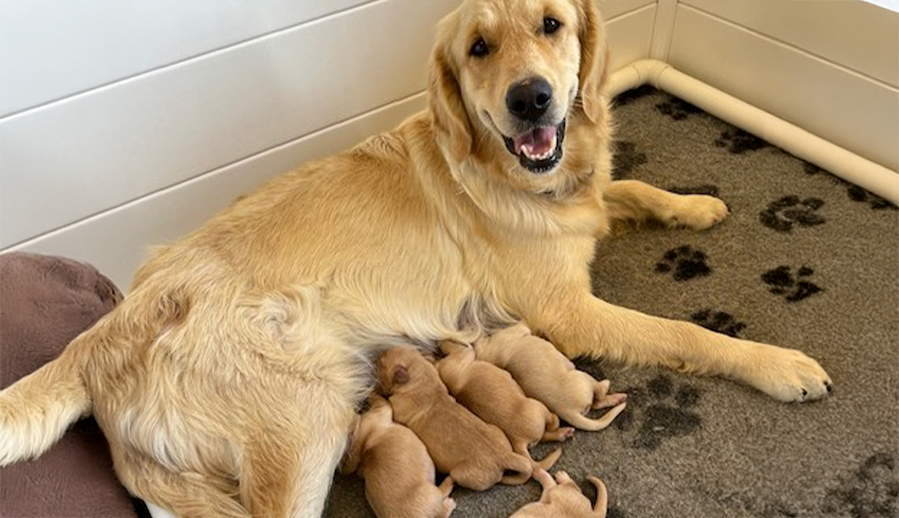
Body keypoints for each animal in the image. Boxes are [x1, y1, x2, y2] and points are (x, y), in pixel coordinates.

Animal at [378, 346, 556, 490]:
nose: (379, 353)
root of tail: (504, 456)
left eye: (381, 363)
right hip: (499, 431)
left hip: (464, 471)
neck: (422, 381)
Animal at [437, 340, 573, 462]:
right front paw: (446, 343)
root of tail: (518, 440)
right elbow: (456, 347)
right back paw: (560, 426)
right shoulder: (463, 353)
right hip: (538, 407)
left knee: (545, 435)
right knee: (552, 422)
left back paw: (563, 433)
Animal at [474, 323, 627, 431]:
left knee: (597, 403)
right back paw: (612, 390)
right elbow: (522, 325)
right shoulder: (516, 331)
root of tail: (569, 411)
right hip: (582, 378)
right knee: (598, 396)